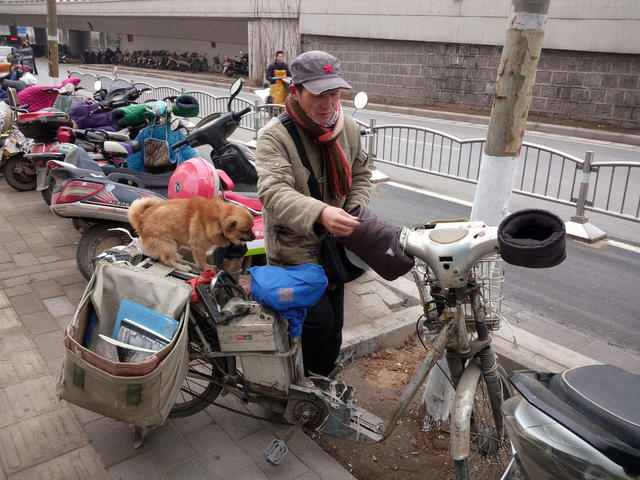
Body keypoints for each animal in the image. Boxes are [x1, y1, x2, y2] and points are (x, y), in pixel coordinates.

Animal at [127, 195, 255, 270]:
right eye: (245, 231)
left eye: (252, 228)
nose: (254, 237)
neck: (218, 219)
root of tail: (141, 220)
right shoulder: (198, 247)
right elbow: (202, 261)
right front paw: (206, 268)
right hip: (169, 244)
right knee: (167, 260)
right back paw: (182, 267)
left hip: (175, 242)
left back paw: (177, 256)